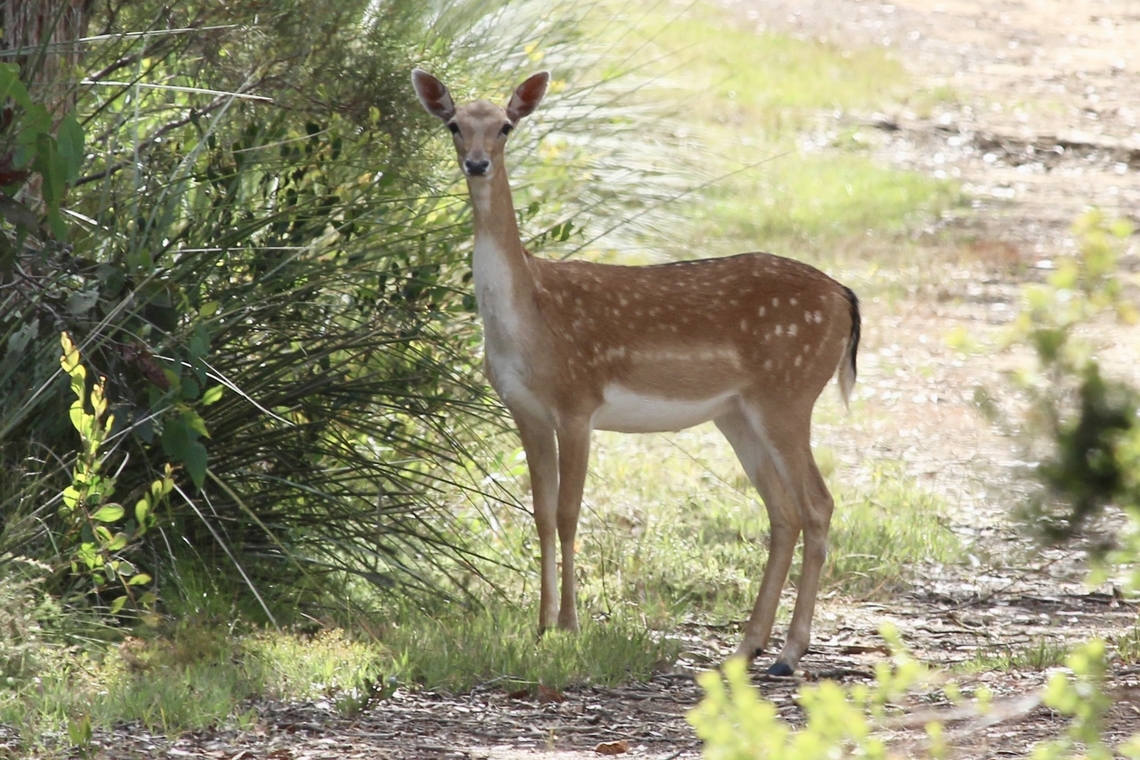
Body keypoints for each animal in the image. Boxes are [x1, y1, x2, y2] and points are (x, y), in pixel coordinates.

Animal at [412, 69, 861, 676]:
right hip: (738, 413)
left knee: (818, 504)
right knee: (784, 511)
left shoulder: (578, 400)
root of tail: (844, 297)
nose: (477, 164)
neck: (528, 317)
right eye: (454, 125)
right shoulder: (525, 410)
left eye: (506, 125)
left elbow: (569, 513)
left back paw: (788, 654)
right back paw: (748, 646)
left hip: (789, 392)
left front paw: (571, 626)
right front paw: (540, 627)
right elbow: (539, 513)